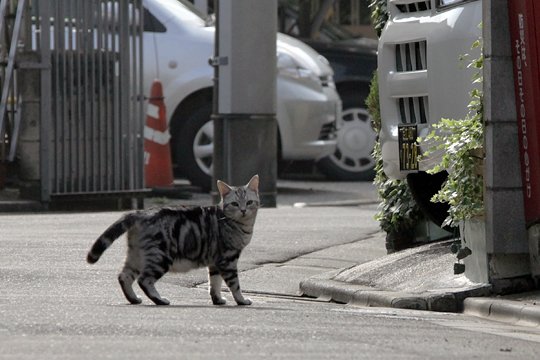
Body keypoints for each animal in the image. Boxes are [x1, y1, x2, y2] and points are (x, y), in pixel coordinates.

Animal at [86, 174, 260, 306]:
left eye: (249, 202)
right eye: (235, 204)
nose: (243, 210)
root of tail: (140, 212)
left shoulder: (215, 261)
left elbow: (214, 283)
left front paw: (217, 300)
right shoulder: (227, 259)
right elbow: (234, 284)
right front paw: (241, 300)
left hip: (136, 255)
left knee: (124, 276)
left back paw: (134, 299)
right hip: (160, 257)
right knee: (144, 280)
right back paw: (160, 300)